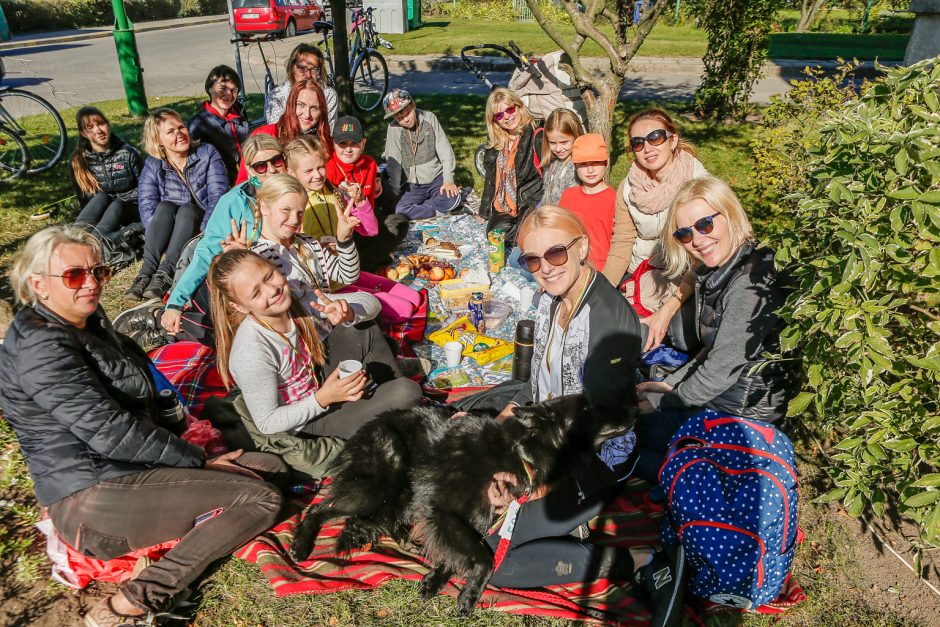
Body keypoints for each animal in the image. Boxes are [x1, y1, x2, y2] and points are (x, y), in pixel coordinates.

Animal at [290, 394, 636, 616]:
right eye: (588, 407)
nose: (633, 409)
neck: (521, 448)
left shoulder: (474, 515)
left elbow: (460, 552)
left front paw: (437, 578)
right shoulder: (444, 510)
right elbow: (485, 559)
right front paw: (470, 595)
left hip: (402, 493)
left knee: (382, 520)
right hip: (381, 484)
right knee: (319, 509)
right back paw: (301, 545)